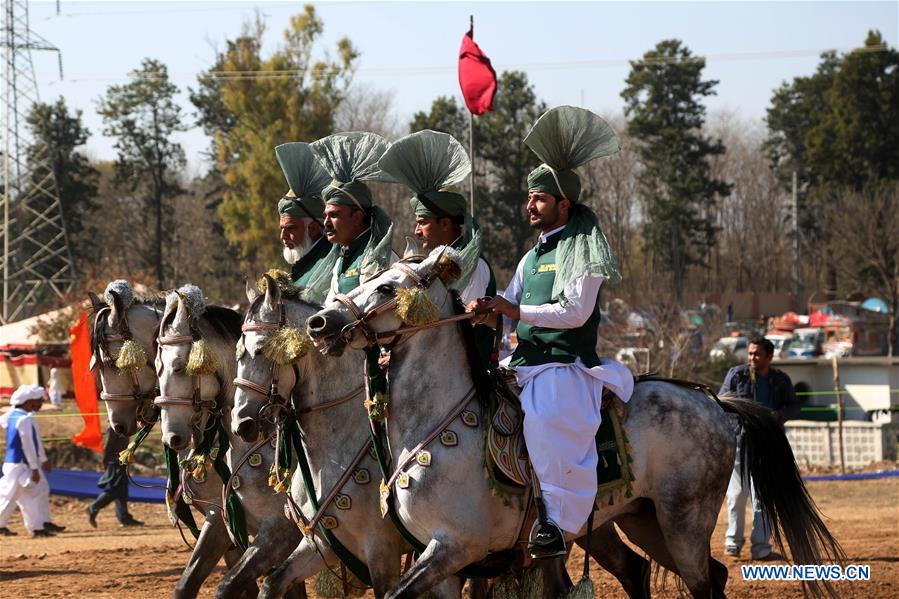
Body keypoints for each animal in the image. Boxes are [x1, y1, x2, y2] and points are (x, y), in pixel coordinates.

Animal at [308, 248, 844, 599]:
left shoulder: (453, 549)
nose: (319, 324)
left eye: (386, 287)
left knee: (702, 580)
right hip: (641, 519)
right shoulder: (441, 563)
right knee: (681, 573)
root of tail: (712, 400)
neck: (434, 429)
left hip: (683, 522)